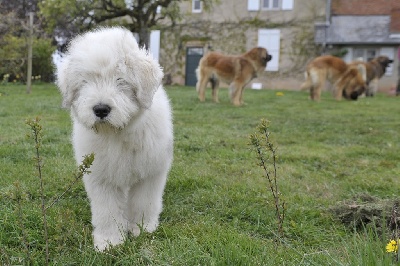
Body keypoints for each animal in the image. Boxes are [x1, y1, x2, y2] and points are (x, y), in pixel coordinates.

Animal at [56, 27, 173, 251]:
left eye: (121, 80)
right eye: (85, 81)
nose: (101, 109)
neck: (117, 133)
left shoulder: (149, 172)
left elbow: (144, 202)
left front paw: (142, 229)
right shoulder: (102, 176)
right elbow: (107, 210)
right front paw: (109, 241)